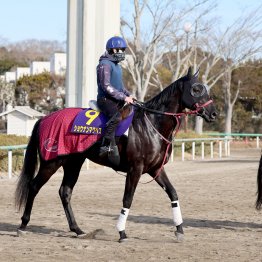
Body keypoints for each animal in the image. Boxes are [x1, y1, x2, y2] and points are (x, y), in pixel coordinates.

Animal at [15, 67, 218, 242]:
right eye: (196, 89)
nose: (214, 113)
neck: (151, 124)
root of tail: (44, 118)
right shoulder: (135, 169)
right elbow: (128, 199)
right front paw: (122, 232)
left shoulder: (155, 169)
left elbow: (173, 193)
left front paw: (180, 230)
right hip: (52, 162)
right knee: (34, 186)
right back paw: (23, 225)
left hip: (73, 163)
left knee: (65, 192)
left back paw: (77, 230)